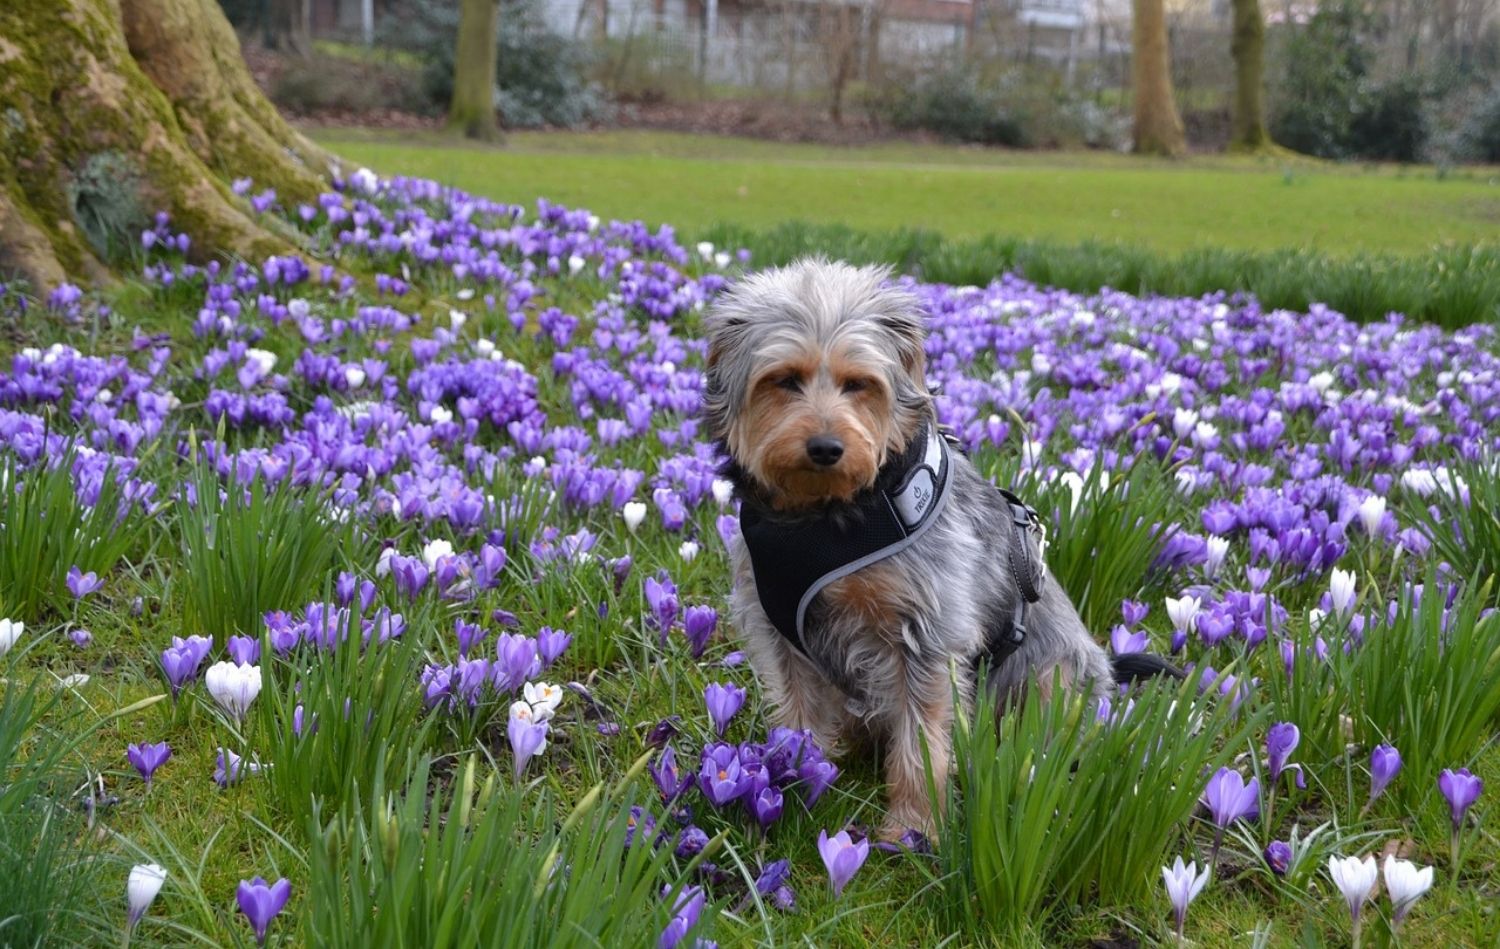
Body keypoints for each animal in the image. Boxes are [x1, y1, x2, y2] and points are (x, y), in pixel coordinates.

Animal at [702, 257, 1170, 833]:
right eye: (784, 380)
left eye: (859, 384)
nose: (826, 447)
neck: (826, 517)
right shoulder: (781, 633)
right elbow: (798, 719)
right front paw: (792, 779)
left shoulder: (925, 634)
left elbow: (921, 743)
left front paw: (913, 827)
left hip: (1054, 675)